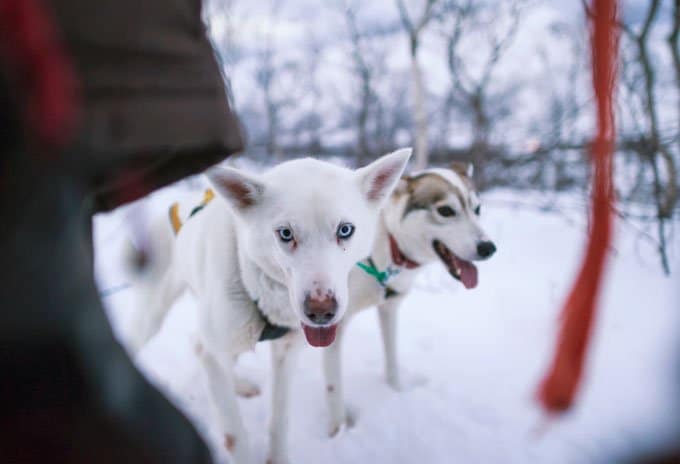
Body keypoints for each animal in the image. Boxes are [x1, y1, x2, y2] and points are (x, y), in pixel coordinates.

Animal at [129, 150, 412, 464]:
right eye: (286, 233)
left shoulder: (286, 353)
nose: (321, 310)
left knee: (201, 346)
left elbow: (279, 420)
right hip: (155, 314)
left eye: (345, 230)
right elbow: (235, 436)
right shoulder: (215, 351)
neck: (256, 287)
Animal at [322, 162, 496, 436]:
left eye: (477, 209)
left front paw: (396, 392)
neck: (387, 245)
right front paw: (338, 431)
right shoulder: (331, 327)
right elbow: (334, 387)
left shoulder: (389, 309)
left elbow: (392, 359)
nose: (488, 248)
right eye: (446, 211)